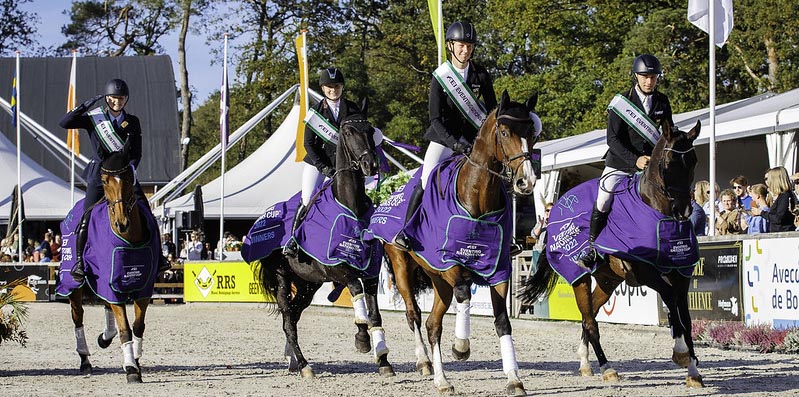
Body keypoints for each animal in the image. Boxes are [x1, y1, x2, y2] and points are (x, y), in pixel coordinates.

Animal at [58, 150, 158, 382]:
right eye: (104, 180)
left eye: (129, 178)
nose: (122, 222)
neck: (130, 240)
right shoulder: (112, 286)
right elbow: (125, 329)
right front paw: (131, 369)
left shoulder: (143, 288)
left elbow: (138, 326)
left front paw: (136, 360)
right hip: (73, 285)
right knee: (78, 317)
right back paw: (85, 360)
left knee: (106, 308)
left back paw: (104, 338)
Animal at [384, 91, 540, 394]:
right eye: (505, 132)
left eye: (532, 133)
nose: (526, 182)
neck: (477, 196)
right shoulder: (450, 262)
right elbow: (465, 293)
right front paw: (461, 347)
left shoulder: (499, 269)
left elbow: (502, 322)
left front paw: (514, 379)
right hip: (402, 265)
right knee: (414, 315)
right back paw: (424, 363)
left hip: (437, 280)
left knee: (433, 324)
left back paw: (442, 380)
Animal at [516, 121, 704, 386]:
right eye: (669, 163)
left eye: (694, 160)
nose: (684, 210)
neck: (655, 211)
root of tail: (554, 212)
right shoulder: (645, 272)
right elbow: (670, 301)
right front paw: (681, 353)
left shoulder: (681, 274)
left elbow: (686, 319)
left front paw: (694, 371)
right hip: (579, 277)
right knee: (589, 320)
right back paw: (606, 368)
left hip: (608, 280)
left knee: (591, 314)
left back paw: (585, 363)